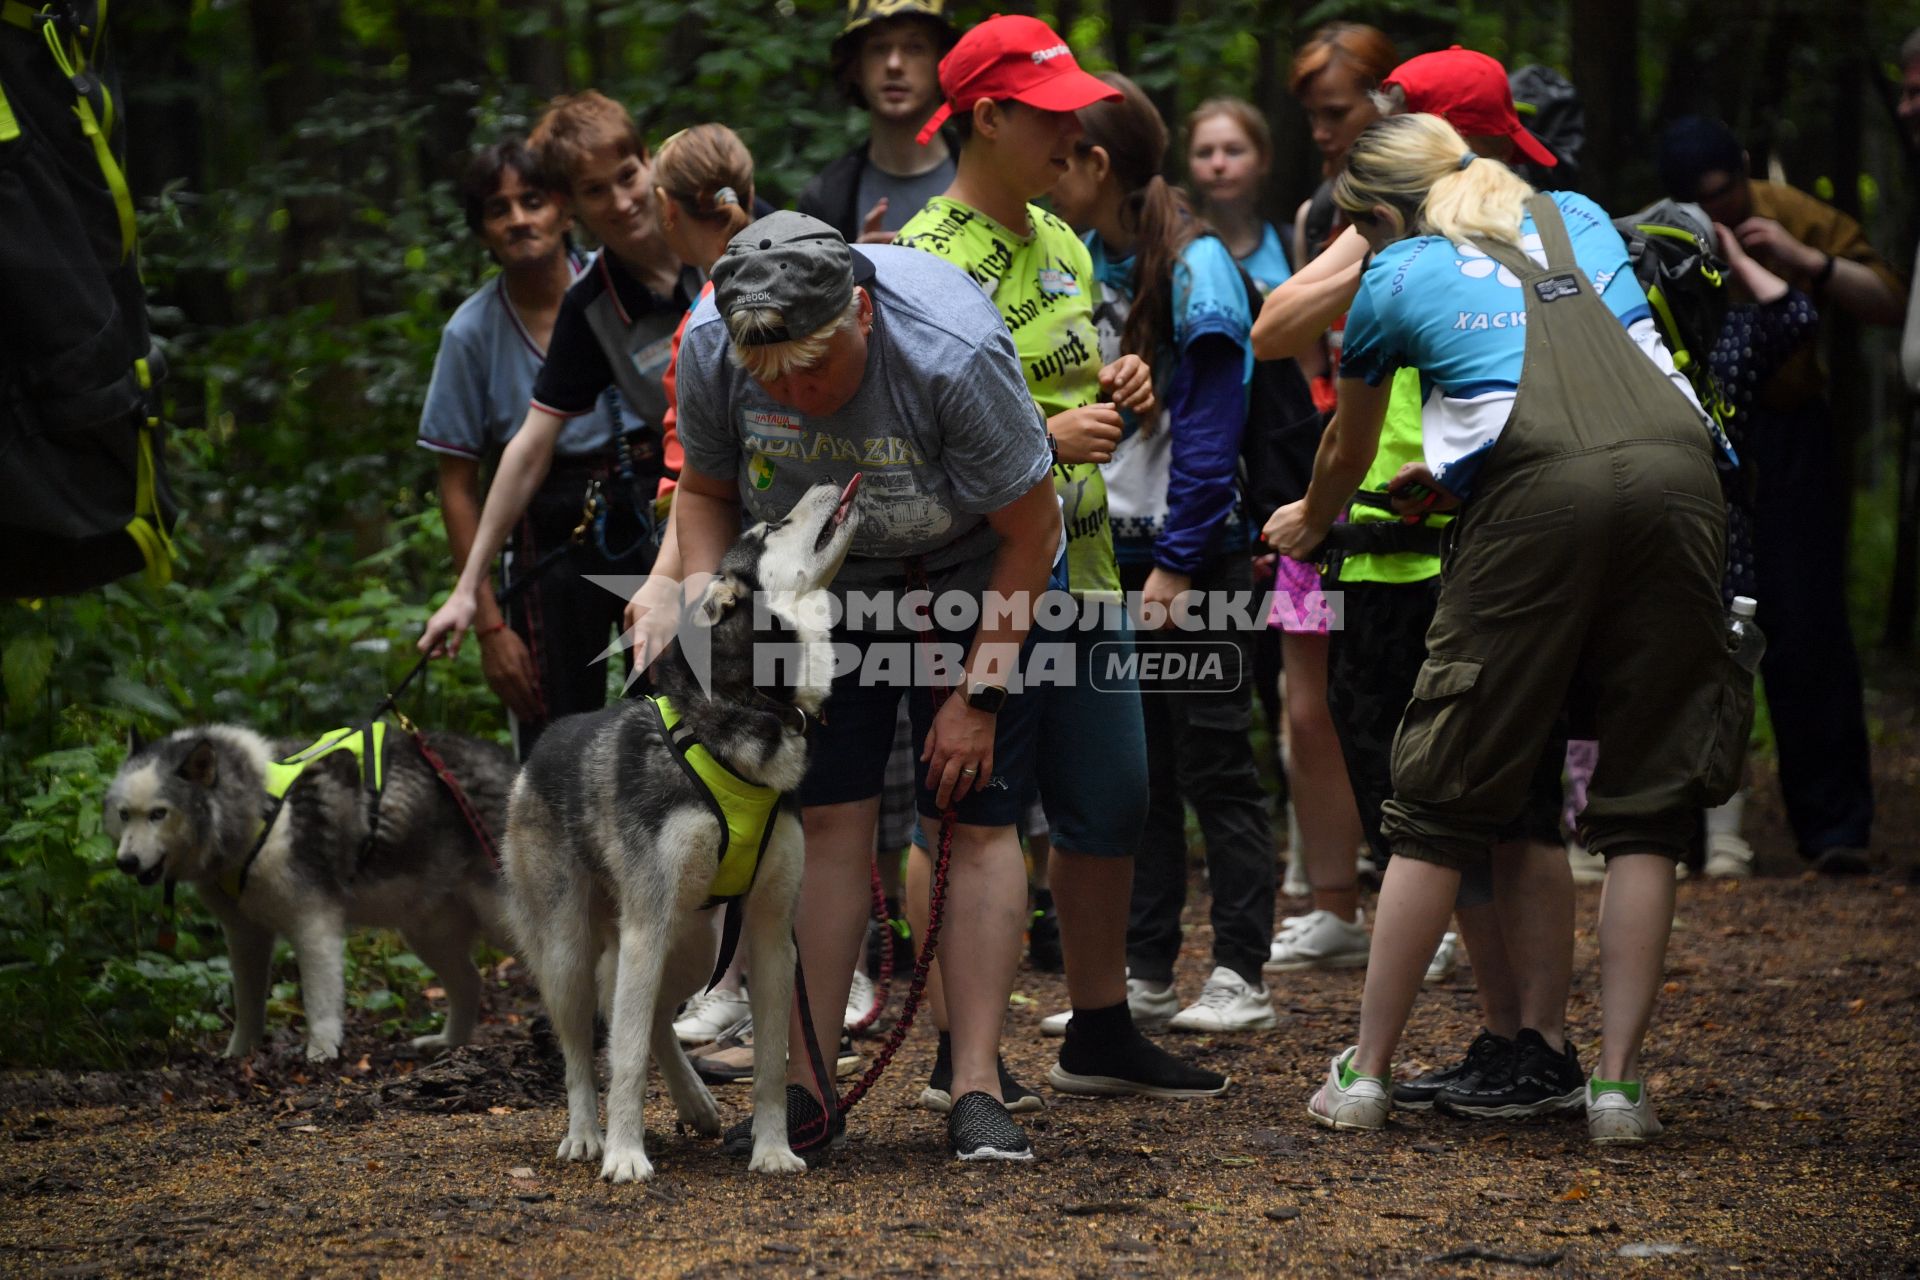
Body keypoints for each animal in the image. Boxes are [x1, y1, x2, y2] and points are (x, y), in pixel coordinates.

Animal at [104, 721, 510, 1059]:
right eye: (125, 814)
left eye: (158, 813)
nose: (126, 862)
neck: (258, 813)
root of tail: (510, 763)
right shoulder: (245, 935)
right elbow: (248, 1006)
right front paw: (238, 1055)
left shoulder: (314, 924)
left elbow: (319, 1002)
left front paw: (321, 1053)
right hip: (427, 934)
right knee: (471, 982)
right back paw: (449, 1043)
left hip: (498, 920)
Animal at [499, 477, 860, 1182]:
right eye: (771, 528)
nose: (831, 481)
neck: (752, 709)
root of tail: (541, 749)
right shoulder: (647, 925)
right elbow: (626, 1058)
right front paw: (625, 1155)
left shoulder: (772, 933)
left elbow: (769, 1066)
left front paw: (773, 1148)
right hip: (575, 948)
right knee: (587, 1048)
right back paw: (587, 1135)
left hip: (693, 941)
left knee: (654, 1020)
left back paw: (694, 1101)